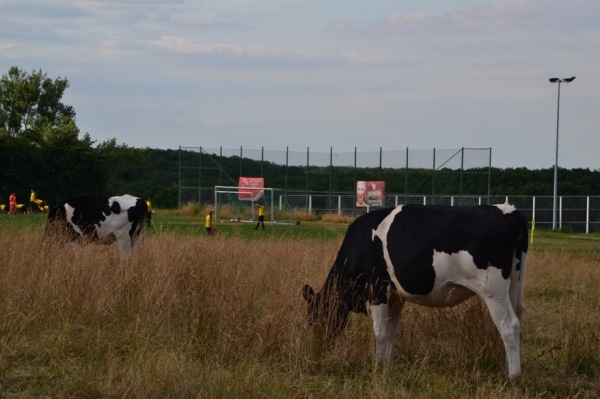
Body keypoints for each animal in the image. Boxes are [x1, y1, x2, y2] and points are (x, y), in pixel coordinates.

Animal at [302, 205, 528, 380]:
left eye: (316, 316)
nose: (318, 349)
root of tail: (509, 212)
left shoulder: (377, 289)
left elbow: (380, 333)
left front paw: (377, 367)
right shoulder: (395, 298)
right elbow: (390, 332)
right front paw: (385, 365)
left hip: (493, 290)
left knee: (509, 326)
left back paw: (513, 376)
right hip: (514, 286)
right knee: (518, 320)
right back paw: (508, 368)